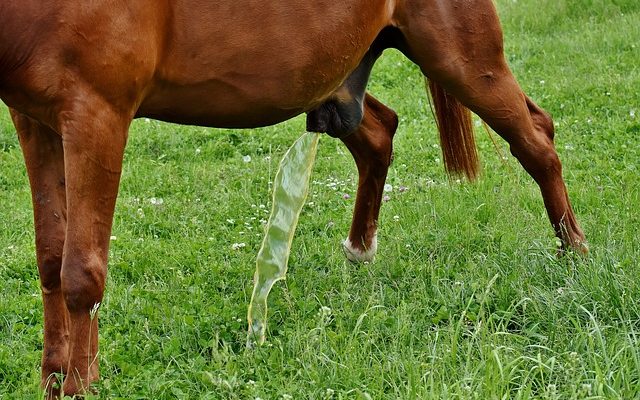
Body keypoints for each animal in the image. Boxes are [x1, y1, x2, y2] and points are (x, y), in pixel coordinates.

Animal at [0, 0, 584, 396]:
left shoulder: (97, 114)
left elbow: (81, 271)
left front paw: (78, 384)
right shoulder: (37, 122)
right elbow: (51, 262)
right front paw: (53, 378)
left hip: (463, 57)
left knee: (537, 139)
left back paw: (575, 255)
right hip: (340, 81)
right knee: (381, 134)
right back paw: (359, 250)